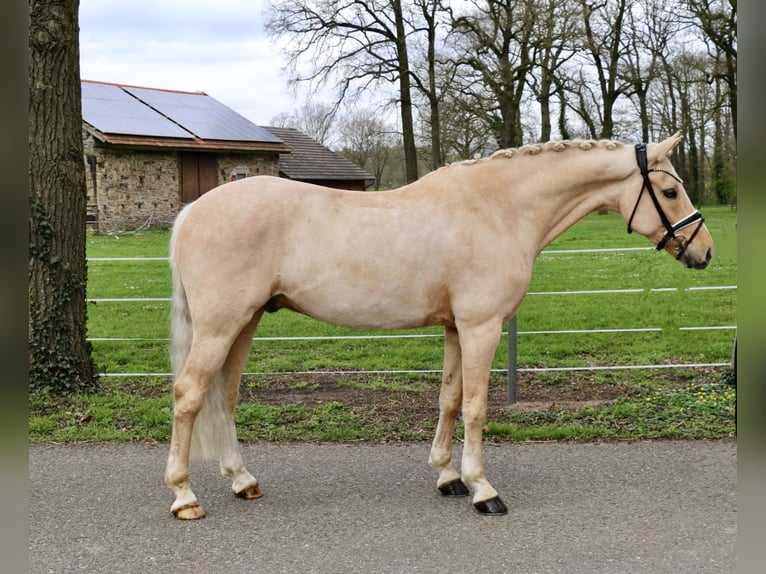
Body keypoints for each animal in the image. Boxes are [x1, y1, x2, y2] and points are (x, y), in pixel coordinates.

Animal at [166, 135, 712, 520]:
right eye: (669, 190)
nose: (704, 252)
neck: (499, 209)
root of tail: (192, 210)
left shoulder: (455, 329)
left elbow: (449, 398)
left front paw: (448, 476)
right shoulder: (481, 327)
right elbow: (475, 406)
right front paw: (483, 489)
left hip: (246, 322)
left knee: (225, 395)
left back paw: (242, 480)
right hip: (221, 325)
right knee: (190, 394)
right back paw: (185, 496)